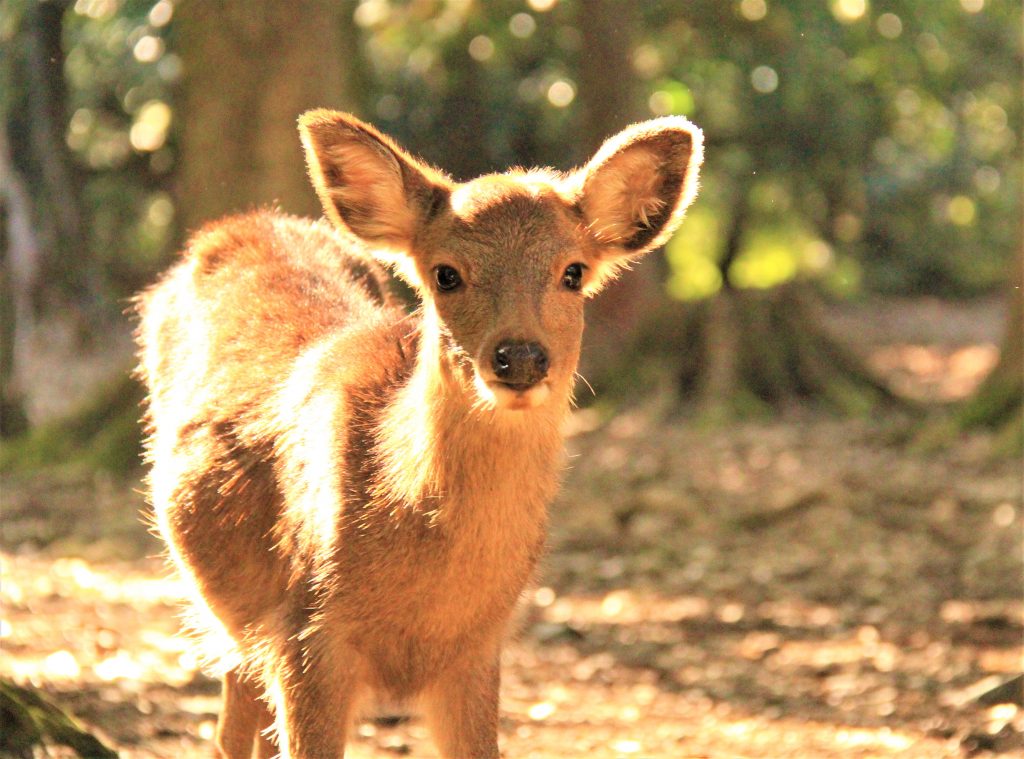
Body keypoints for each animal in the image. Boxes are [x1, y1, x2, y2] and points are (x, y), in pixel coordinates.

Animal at [136, 108, 700, 757]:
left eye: (573, 272)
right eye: (446, 274)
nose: (520, 358)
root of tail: (238, 223)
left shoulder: (479, 648)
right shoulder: (307, 632)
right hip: (236, 615)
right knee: (229, 724)